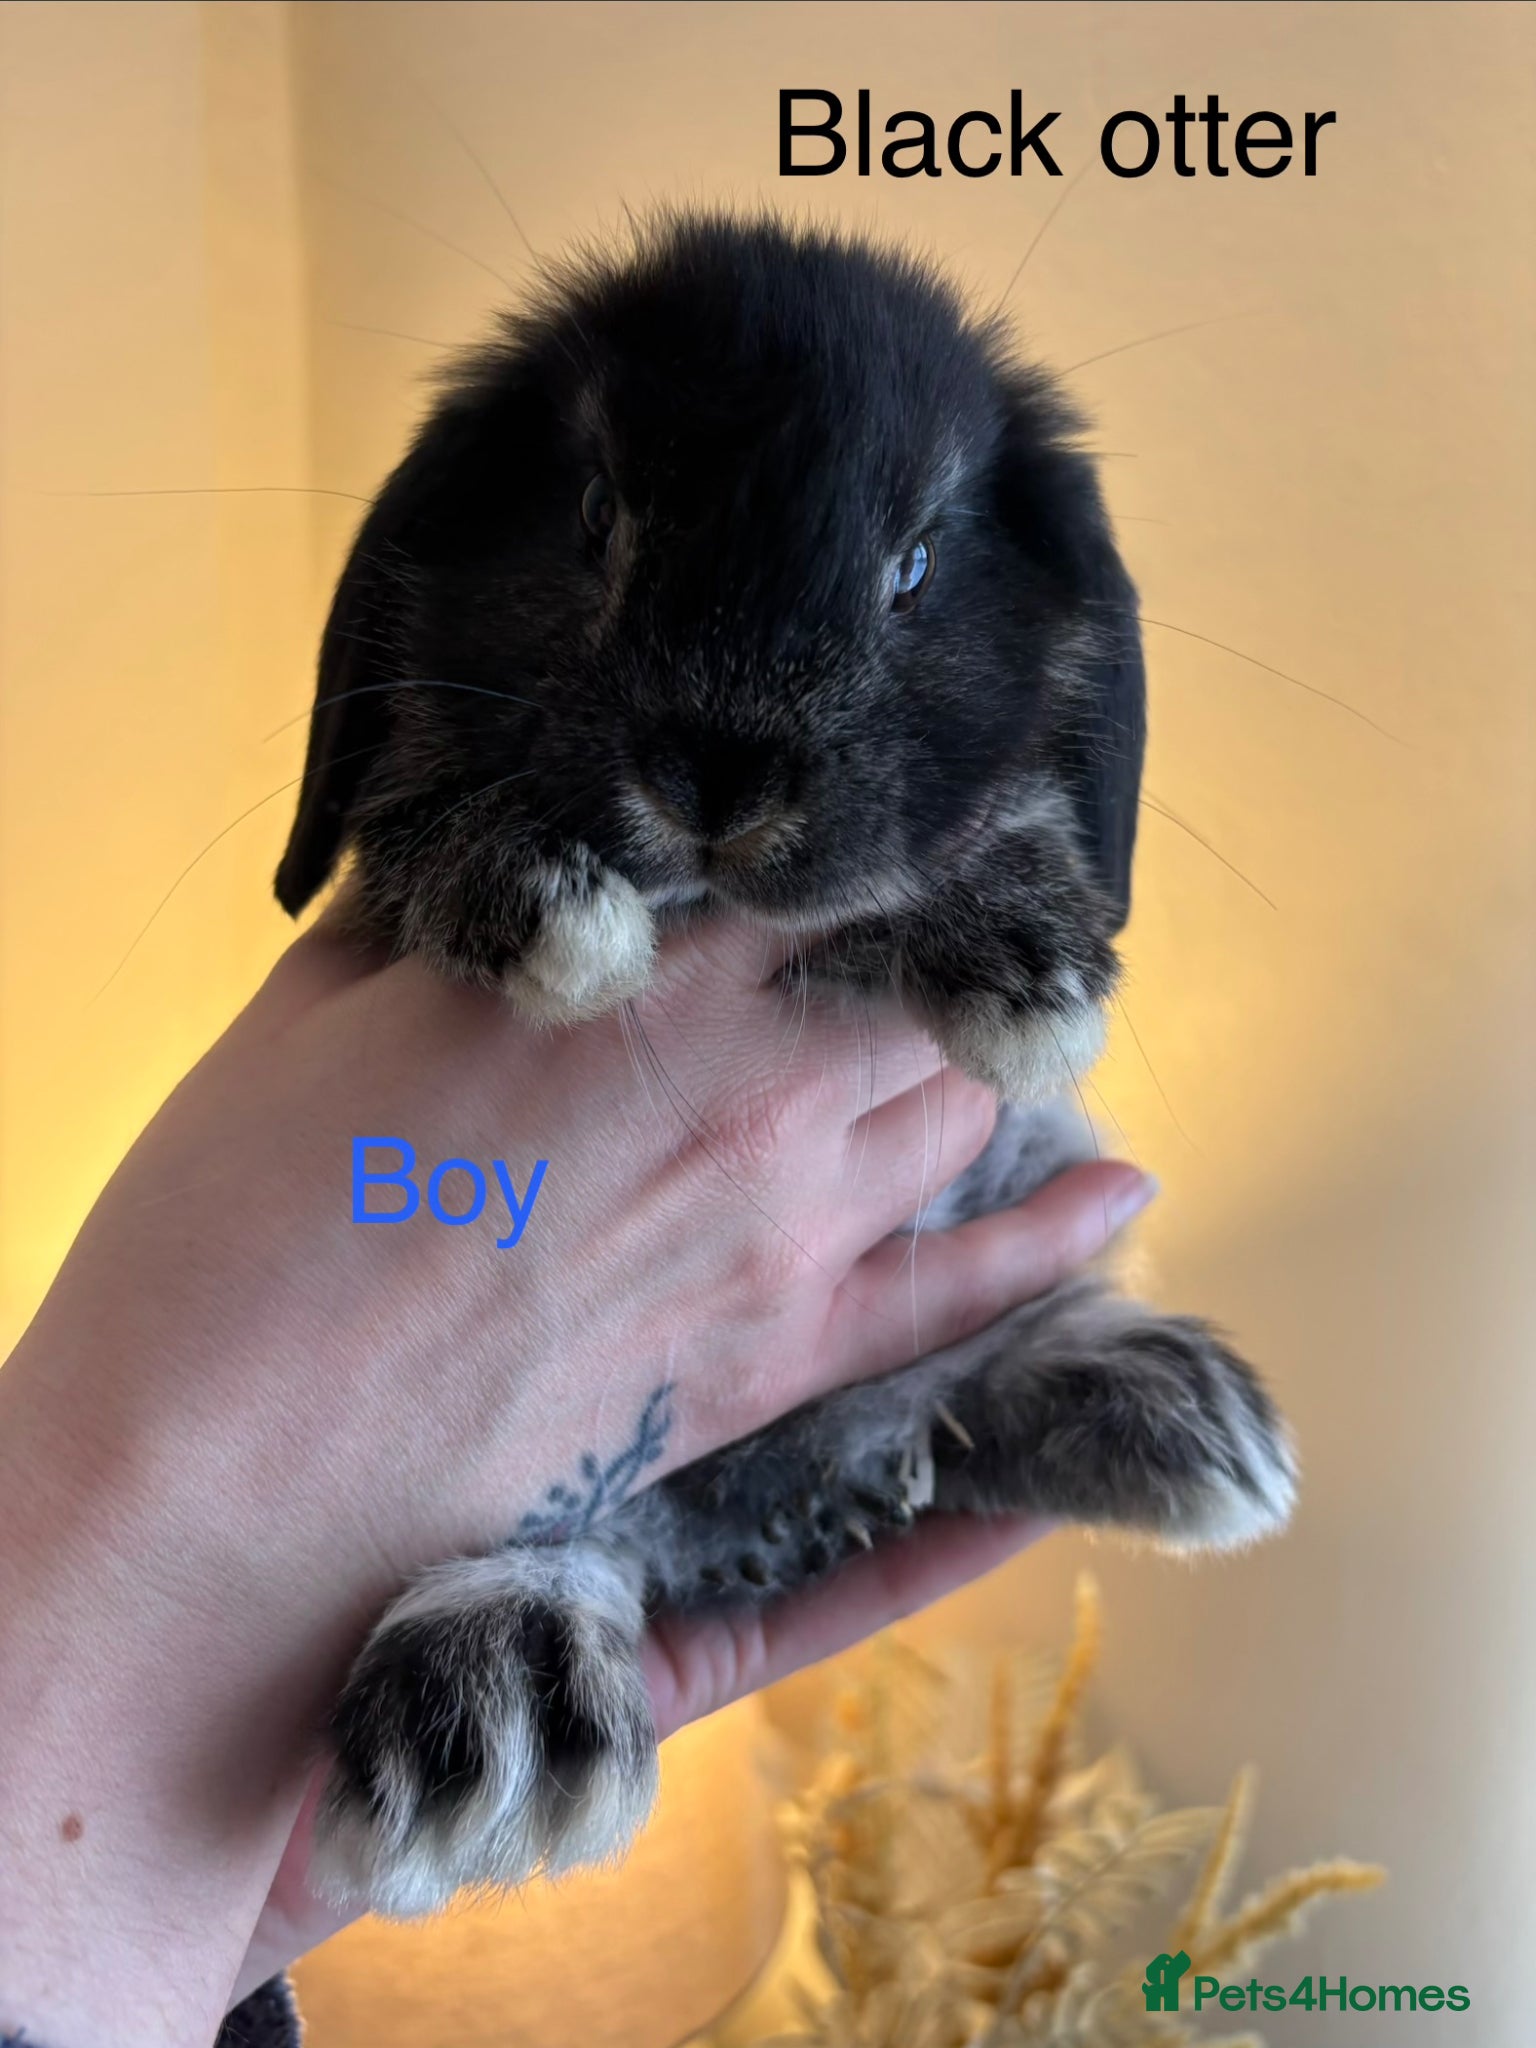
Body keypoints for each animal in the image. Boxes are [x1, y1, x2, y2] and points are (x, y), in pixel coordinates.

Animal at [275, 210, 1297, 1916]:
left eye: (916, 567)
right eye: (600, 515)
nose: (719, 774)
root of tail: (782, 1510)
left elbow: (997, 826)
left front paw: (1027, 961)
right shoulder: (396, 859)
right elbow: (429, 820)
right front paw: (554, 912)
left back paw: (1163, 1403)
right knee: (571, 1535)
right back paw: (502, 1682)